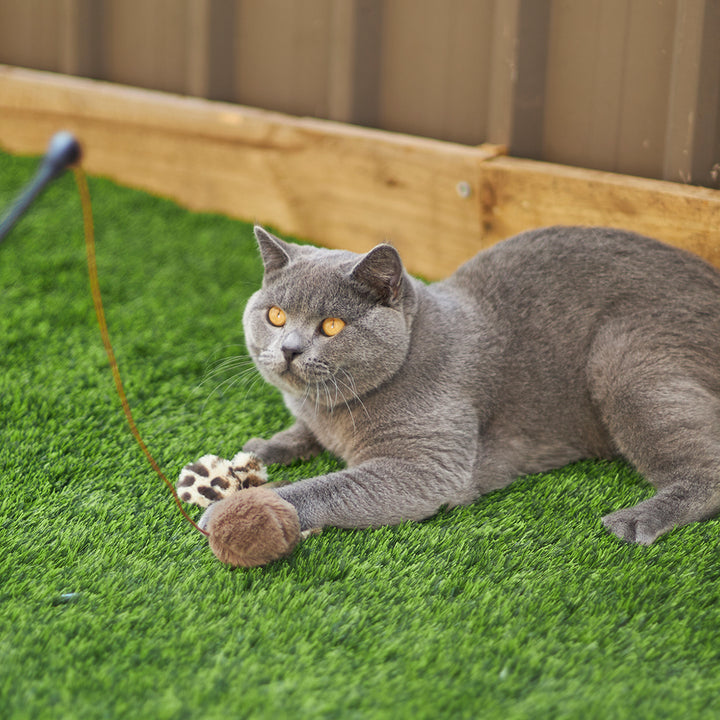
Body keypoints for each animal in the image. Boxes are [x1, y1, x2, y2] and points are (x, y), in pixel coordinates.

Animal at [204, 226, 720, 544]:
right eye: (275, 316)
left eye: (332, 326)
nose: (289, 349)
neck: (332, 411)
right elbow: (300, 433)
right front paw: (263, 449)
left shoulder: (426, 468)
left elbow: (326, 486)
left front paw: (237, 508)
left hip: (621, 359)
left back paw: (636, 519)